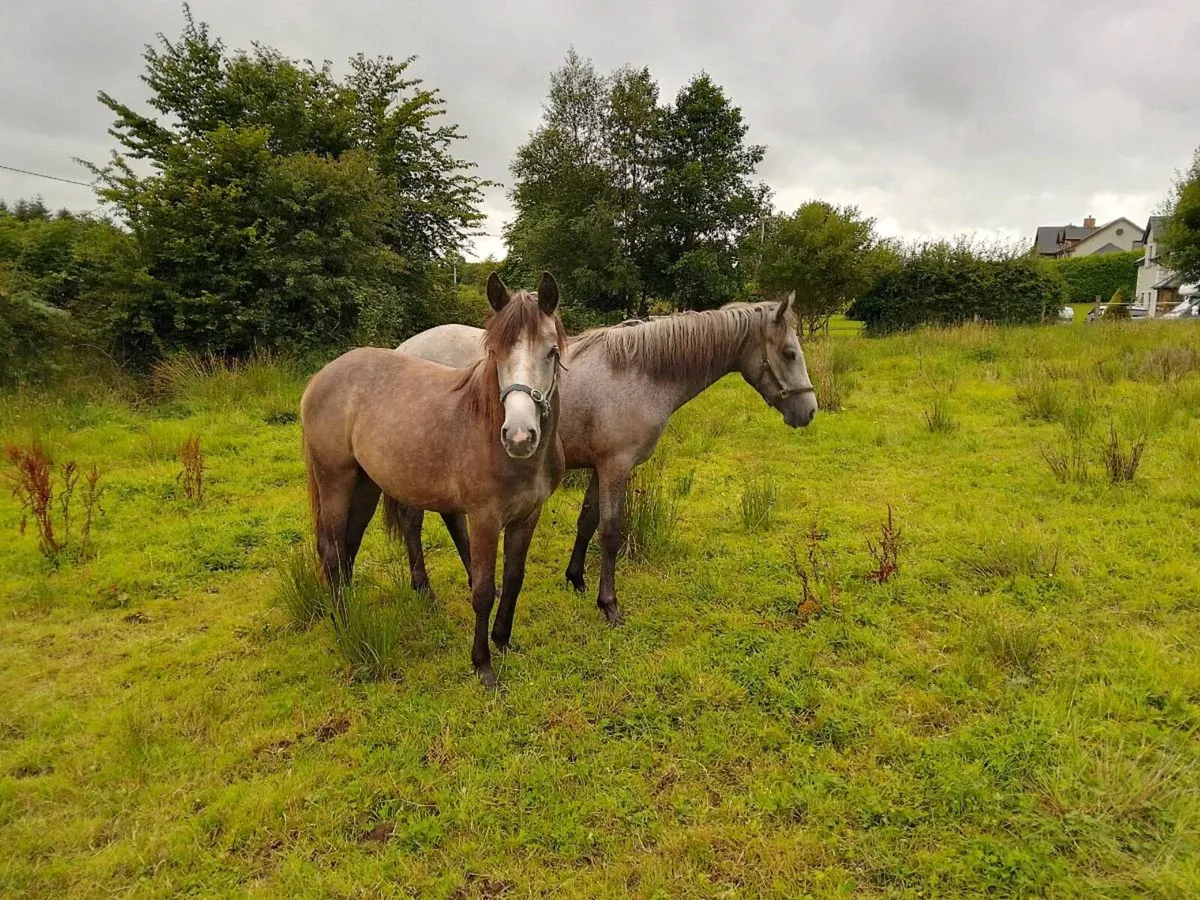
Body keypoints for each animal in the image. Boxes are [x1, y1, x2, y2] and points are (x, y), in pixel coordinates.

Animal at [300, 272, 566, 686]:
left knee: (348, 547)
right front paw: (482, 663)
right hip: (335, 481)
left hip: (365, 485)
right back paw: (345, 626)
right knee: (331, 550)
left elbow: (515, 578)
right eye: (495, 353)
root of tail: (322, 376)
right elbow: (483, 589)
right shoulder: (484, 519)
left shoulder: (528, 516)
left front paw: (503, 640)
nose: (519, 436)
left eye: (551, 352)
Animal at [392, 291, 817, 626]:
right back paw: (425, 588)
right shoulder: (616, 467)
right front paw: (609, 605)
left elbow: (587, 522)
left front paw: (576, 579)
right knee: (414, 523)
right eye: (789, 353)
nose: (809, 411)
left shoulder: (600, 467)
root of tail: (402, 350)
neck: (639, 374)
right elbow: (611, 532)